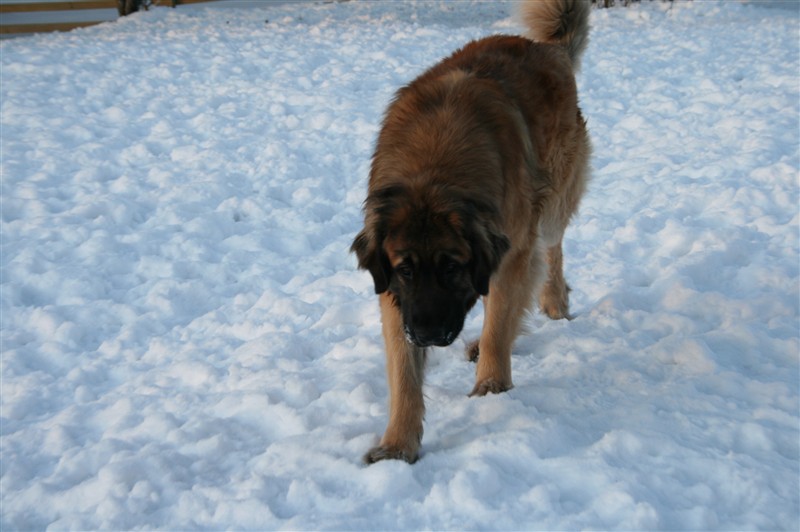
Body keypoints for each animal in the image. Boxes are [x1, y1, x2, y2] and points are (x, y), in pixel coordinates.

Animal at [354, 0, 592, 464]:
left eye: (452, 267)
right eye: (405, 269)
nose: (427, 335)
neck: (433, 171)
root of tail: (547, 48)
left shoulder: (512, 249)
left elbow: (500, 319)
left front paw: (493, 386)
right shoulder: (396, 294)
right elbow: (404, 372)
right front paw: (398, 444)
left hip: (552, 201)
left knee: (551, 250)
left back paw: (554, 303)